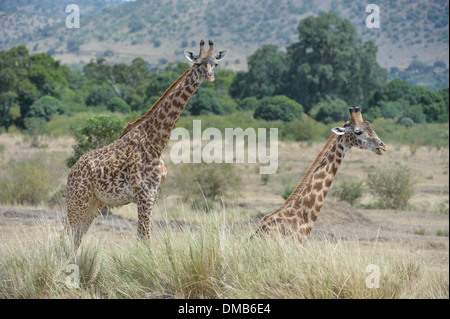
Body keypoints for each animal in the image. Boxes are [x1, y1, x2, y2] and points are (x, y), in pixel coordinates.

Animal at [66, 40, 229, 250]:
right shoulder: (145, 195)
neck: (156, 143)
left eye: (215, 64)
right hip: (78, 199)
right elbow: (145, 238)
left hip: (96, 201)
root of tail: (71, 172)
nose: (210, 77)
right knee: (66, 235)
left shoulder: (153, 196)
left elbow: (143, 237)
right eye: (198, 63)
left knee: (76, 237)